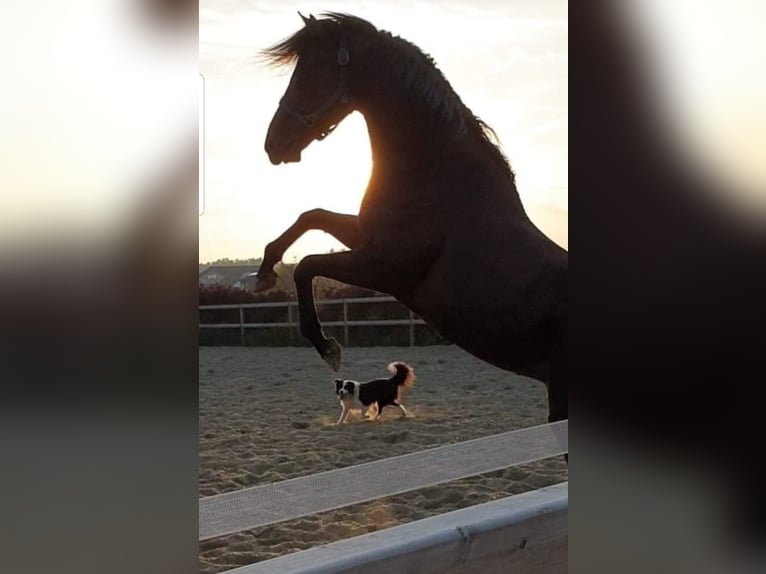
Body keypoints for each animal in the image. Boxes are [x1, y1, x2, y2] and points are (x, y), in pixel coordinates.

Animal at [255, 12, 568, 428]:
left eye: (308, 74)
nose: (273, 145)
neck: (434, 174)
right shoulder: (366, 240)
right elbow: (311, 217)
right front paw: (264, 273)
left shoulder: (386, 267)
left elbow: (307, 265)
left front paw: (327, 347)